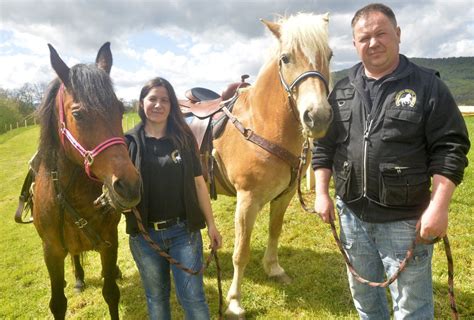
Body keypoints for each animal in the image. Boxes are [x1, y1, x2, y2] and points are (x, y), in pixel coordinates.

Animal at [32, 42, 141, 318]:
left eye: (120, 109)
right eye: (78, 114)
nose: (129, 185)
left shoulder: (109, 243)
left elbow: (111, 293)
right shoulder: (51, 252)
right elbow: (58, 303)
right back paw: (79, 278)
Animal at [211, 13, 334, 318]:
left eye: (329, 55)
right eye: (286, 58)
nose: (318, 116)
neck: (260, 123)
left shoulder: (284, 196)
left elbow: (275, 231)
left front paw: (274, 269)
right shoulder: (247, 200)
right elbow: (241, 252)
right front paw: (234, 301)